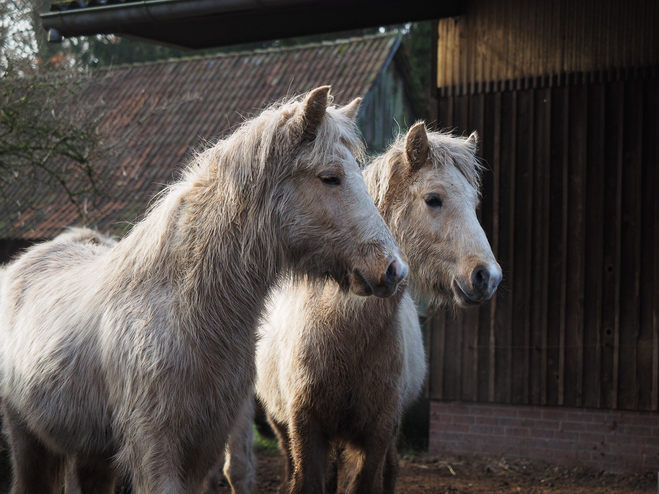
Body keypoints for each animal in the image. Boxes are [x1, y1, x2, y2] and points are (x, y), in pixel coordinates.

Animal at [0, 86, 408, 494]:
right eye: (330, 178)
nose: (394, 270)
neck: (186, 311)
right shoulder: (155, 449)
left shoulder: (202, 451)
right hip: (28, 444)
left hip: (92, 455)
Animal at [224, 121, 502, 492]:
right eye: (433, 199)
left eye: (474, 203)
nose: (488, 276)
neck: (342, 331)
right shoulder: (307, 430)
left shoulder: (377, 435)